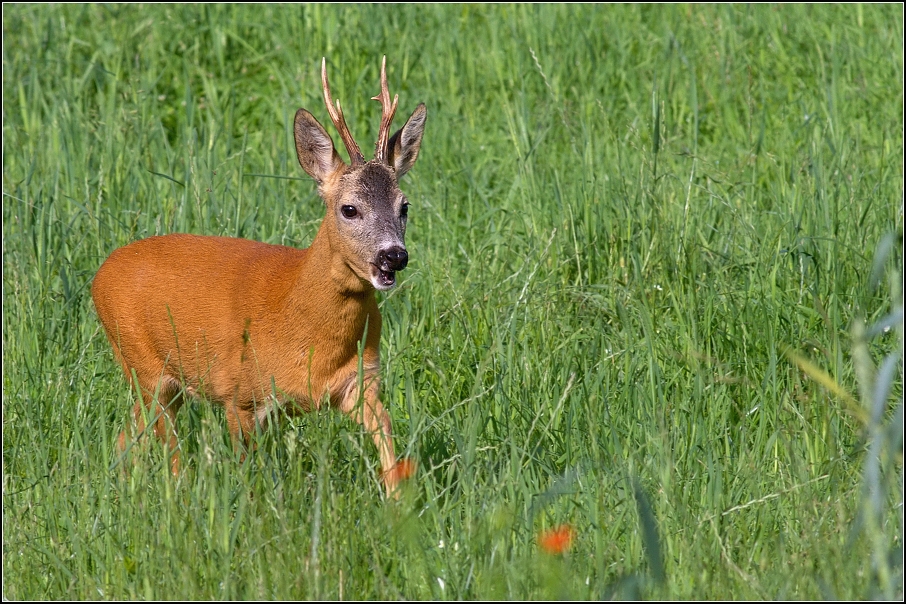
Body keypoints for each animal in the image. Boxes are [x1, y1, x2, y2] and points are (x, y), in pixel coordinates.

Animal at [93, 56, 426, 498]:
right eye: (349, 209)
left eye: (404, 206)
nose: (393, 255)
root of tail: (101, 273)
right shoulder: (240, 394)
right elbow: (246, 473)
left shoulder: (361, 383)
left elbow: (387, 437)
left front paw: (397, 500)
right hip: (145, 366)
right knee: (168, 446)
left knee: (128, 435)